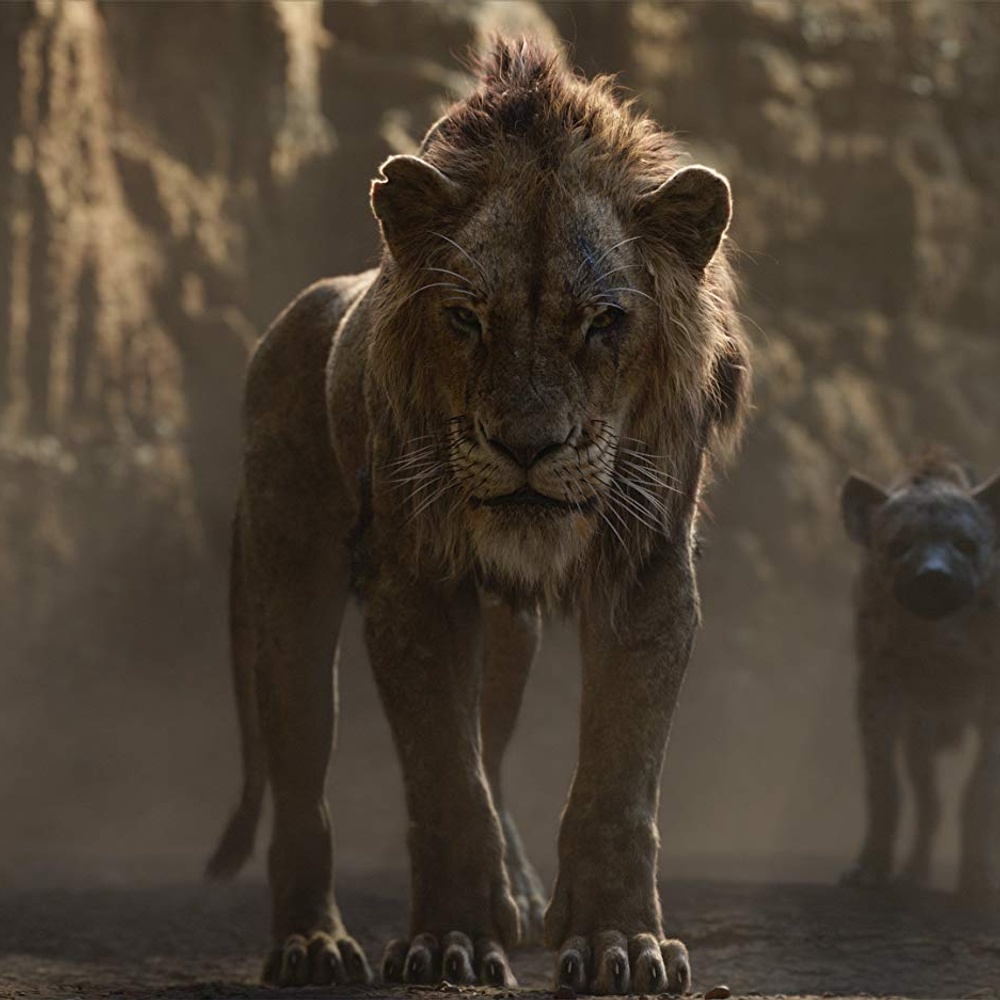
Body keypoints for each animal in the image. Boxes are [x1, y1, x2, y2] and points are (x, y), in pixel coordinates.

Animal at [206, 37, 750, 994]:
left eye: (604, 321)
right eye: (465, 317)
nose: (528, 446)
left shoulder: (648, 573)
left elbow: (616, 783)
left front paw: (617, 944)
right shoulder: (416, 583)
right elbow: (444, 782)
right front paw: (449, 942)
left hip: (507, 634)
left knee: (492, 745)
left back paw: (522, 895)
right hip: (288, 588)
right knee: (304, 779)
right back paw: (311, 944)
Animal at [840, 450, 1000, 894]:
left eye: (965, 544)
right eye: (899, 545)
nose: (933, 576)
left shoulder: (992, 685)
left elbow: (981, 789)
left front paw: (978, 880)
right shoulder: (878, 680)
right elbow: (884, 784)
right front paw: (869, 869)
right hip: (920, 732)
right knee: (928, 799)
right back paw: (914, 873)